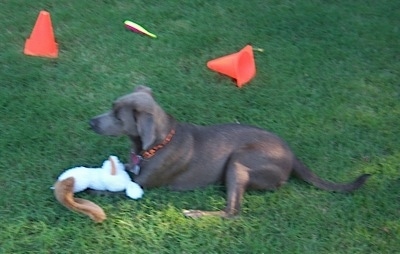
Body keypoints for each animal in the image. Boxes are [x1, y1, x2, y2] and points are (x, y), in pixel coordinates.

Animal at [89, 85, 370, 218]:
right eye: (112, 107)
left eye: (118, 116)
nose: (90, 122)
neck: (159, 143)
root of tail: (291, 155)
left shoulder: (143, 183)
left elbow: (108, 191)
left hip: (239, 162)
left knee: (232, 213)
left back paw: (195, 213)